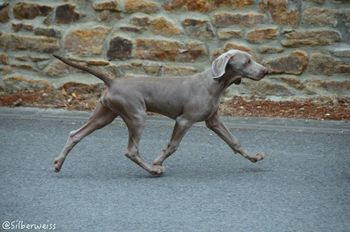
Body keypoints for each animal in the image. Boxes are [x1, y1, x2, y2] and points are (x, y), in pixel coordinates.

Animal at [53, 49, 270, 176]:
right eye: (247, 61)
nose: (266, 71)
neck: (214, 84)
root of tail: (113, 81)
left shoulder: (213, 121)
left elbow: (234, 141)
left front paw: (253, 157)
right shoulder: (184, 120)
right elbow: (172, 146)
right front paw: (157, 161)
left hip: (105, 114)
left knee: (75, 134)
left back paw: (58, 163)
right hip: (137, 116)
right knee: (131, 151)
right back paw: (153, 169)